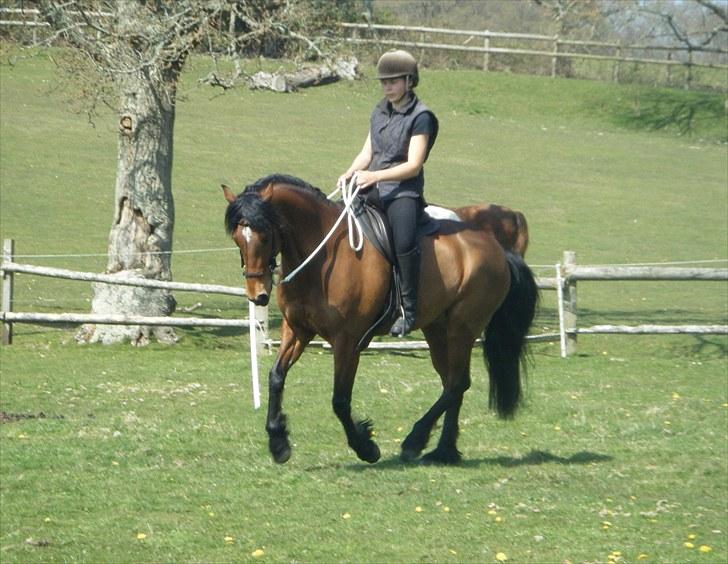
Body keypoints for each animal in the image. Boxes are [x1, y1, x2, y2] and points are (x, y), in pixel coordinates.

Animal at [225, 174, 536, 464]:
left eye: (265, 235)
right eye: (237, 238)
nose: (257, 294)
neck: (322, 258)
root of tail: (497, 249)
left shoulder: (347, 342)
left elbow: (340, 400)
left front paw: (366, 447)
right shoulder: (297, 330)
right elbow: (276, 377)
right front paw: (278, 443)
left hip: (462, 328)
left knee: (458, 383)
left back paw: (417, 441)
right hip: (437, 329)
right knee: (452, 382)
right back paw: (443, 450)